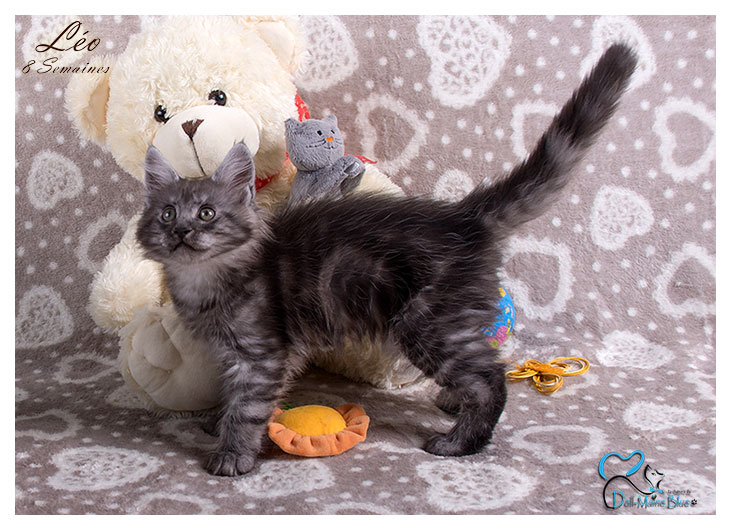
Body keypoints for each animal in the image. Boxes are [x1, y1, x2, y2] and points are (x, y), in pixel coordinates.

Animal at [136, 44, 637, 476]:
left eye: (206, 213)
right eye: (167, 214)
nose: (181, 231)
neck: (205, 280)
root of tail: (462, 216)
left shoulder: (261, 352)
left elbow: (249, 406)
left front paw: (233, 453)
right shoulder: (240, 353)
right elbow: (233, 397)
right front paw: (217, 422)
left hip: (424, 322)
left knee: (489, 378)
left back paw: (461, 440)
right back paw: (454, 403)